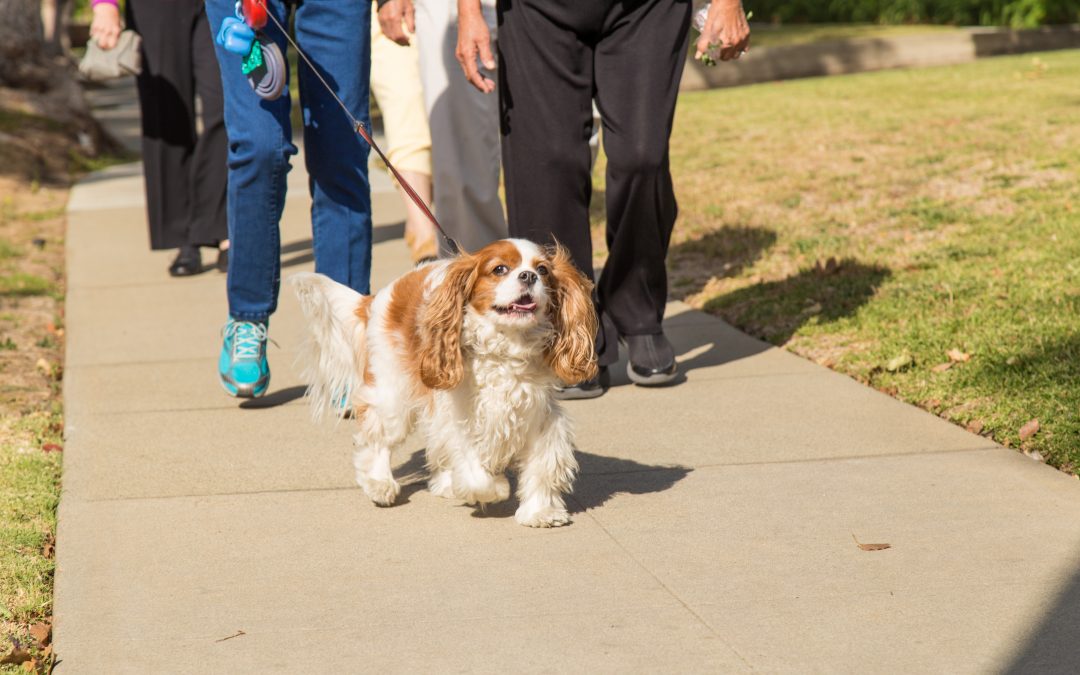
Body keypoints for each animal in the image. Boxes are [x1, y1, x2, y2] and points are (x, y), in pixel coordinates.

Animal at [291, 236, 600, 527]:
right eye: (500, 269)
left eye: (543, 270)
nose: (528, 276)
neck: (505, 346)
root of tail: (376, 297)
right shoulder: (461, 416)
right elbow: (475, 470)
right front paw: (495, 488)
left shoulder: (539, 417)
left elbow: (542, 465)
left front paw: (539, 512)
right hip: (393, 394)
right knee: (378, 438)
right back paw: (380, 484)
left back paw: (445, 484)